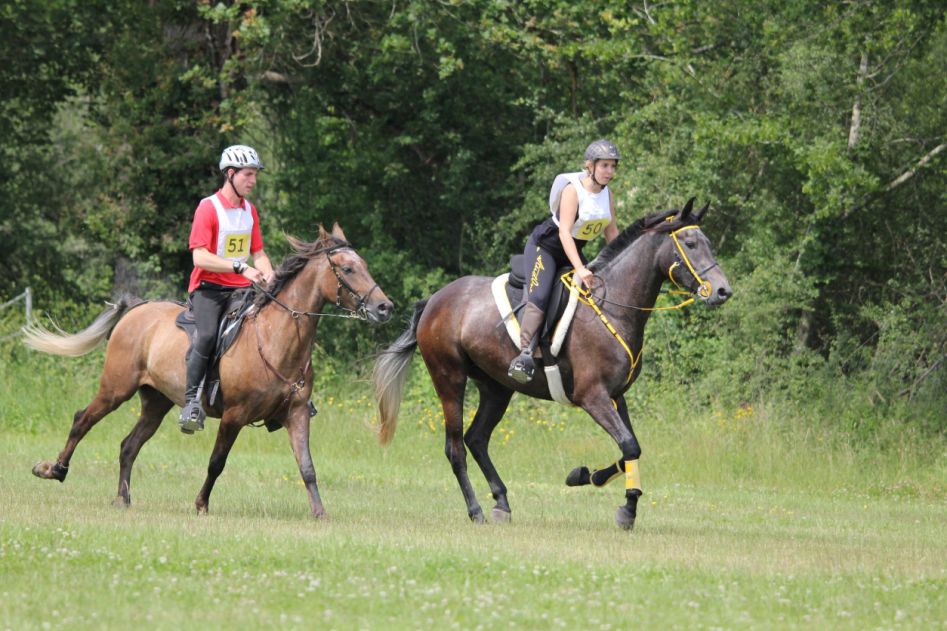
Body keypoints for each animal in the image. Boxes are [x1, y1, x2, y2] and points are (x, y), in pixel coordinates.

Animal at [24, 223, 392, 520]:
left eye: (365, 266)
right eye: (348, 268)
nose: (385, 308)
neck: (276, 338)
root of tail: (138, 308)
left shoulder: (297, 413)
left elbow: (307, 466)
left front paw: (320, 513)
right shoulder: (234, 415)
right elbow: (217, 461)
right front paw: (201, 504)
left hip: (156, 401)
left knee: (129, 445)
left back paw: (122, 498)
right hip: (115, 388)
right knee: (82, 420)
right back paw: (54, 469)